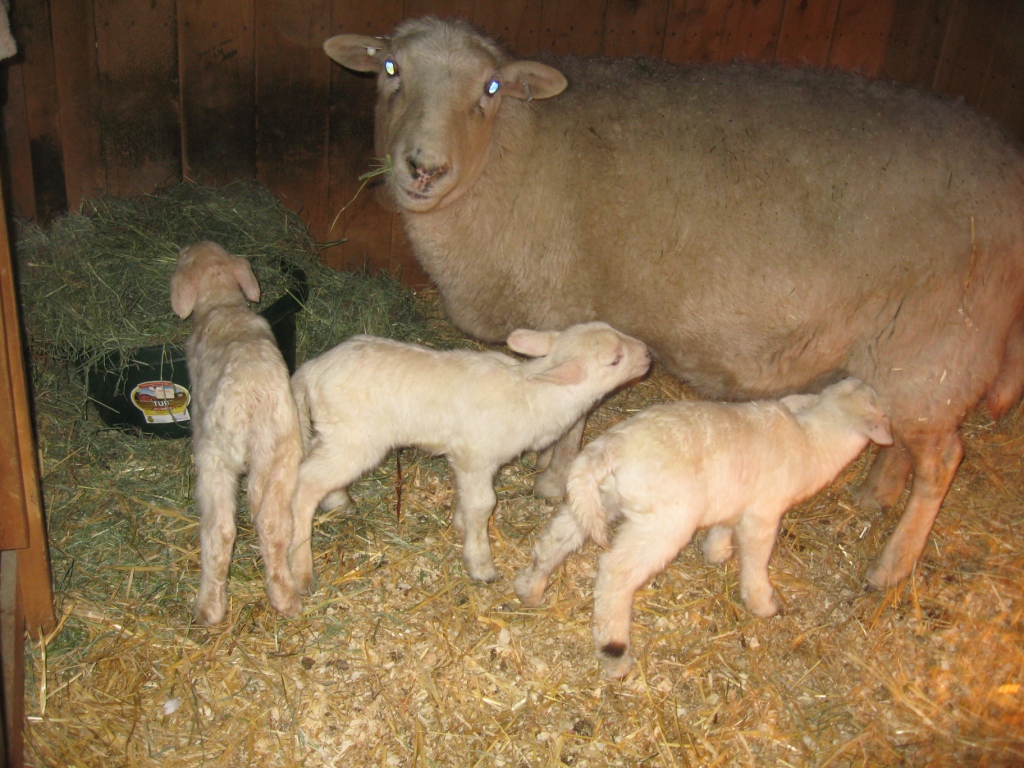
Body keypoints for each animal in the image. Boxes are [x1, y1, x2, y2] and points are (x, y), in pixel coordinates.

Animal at [171, 241, 302, 625]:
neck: (223, 306)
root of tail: (252, 400)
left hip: (215, 457)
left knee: (221, 530)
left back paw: (209, 608)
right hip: (283, 454)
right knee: (274, 526)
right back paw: (285, 598)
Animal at [288, 321, 650, 589]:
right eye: (615, 359)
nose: (648, 354)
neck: (532, 395)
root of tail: (310, 370)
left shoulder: (463, 459)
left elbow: (465, 498)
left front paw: (460, 524)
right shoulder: (477, 457)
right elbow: (483, 505)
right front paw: (481, 563)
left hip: (335, 434)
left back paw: (339, 502)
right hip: (355, 438)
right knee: (305, 482)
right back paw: (301, 569)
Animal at [514, 378, 893, 679]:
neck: (811, 442)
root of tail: (612, 448)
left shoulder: (734, 499)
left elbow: (723, 528)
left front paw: (716, 552)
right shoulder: (763, 514)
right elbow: (756, 561)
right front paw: (763, 603)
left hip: (600, 499)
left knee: (556, 538)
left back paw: (530, 587)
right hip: (665, 521)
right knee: (615, 572)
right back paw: (614, 651)